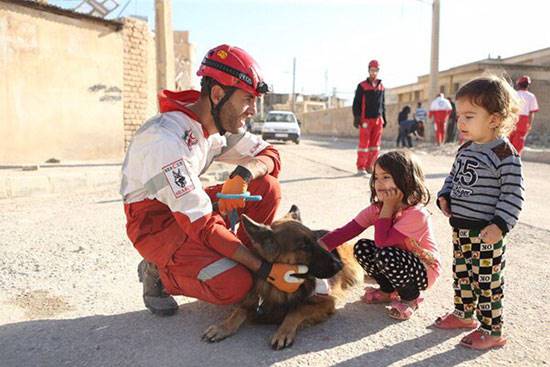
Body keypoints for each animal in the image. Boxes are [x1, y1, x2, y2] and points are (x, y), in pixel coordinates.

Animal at [203, 207, 362, 350]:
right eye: (304, 246)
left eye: (316, 240)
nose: (339, 264)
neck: (279, 286)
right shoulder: (253, 299)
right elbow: (239, 311)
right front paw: (223, 327)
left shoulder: (326, 302)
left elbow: (297, 310)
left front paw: (282, 333)